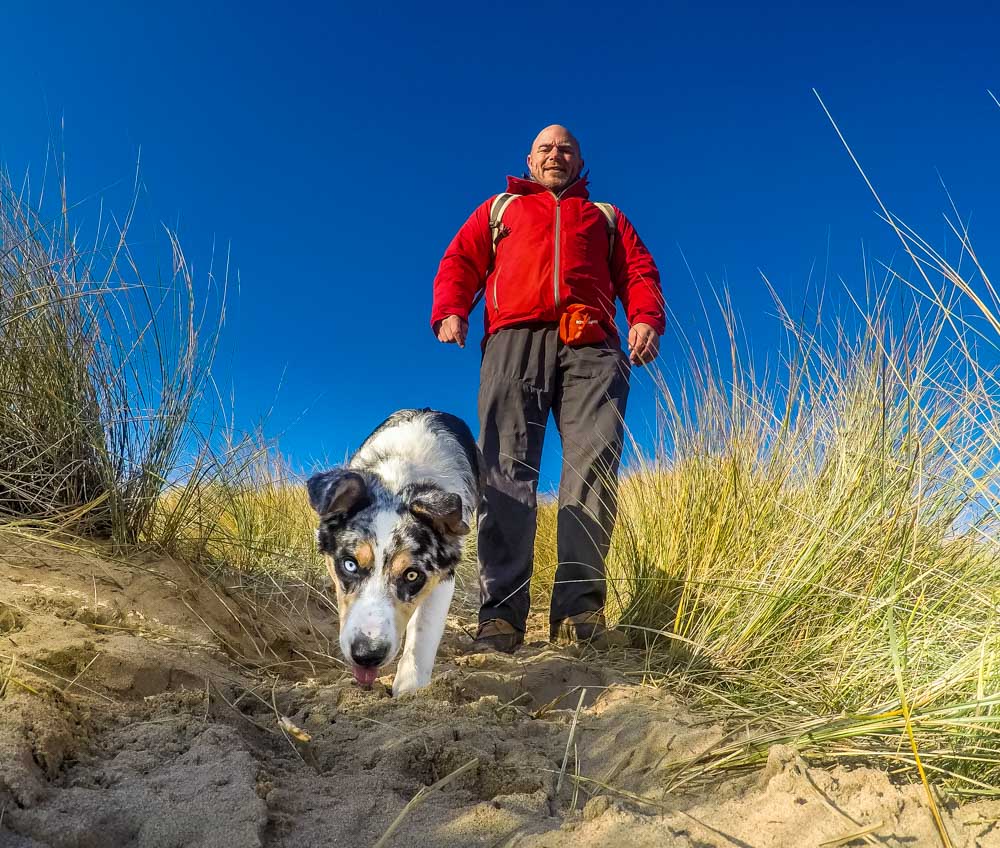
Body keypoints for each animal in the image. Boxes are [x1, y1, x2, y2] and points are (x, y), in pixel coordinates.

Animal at [308, 410, 488, 696]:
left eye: (412, 575)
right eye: (349, 565)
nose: (367, 656)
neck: (399, 482)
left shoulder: (443, 576)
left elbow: (424, 629)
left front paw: (410, 691)